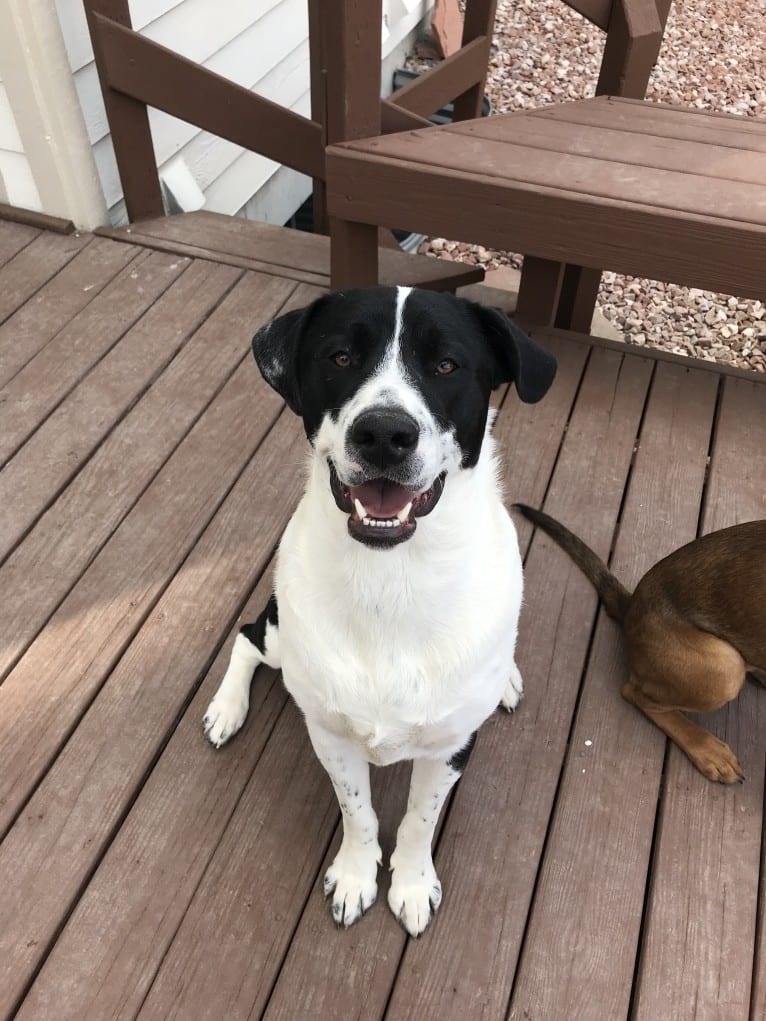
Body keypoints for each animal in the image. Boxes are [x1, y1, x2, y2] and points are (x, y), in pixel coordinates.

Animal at [204, 285, 559, 935]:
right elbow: (359, 812)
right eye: (341, 357)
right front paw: (355, 875)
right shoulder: (330, 735)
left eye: (446, 365)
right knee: (246, 635)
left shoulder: (450, 747)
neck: (394, 579)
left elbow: (420, 821)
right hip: (278, 634)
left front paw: (413, 884)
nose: (384, 434)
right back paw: (226, 709)